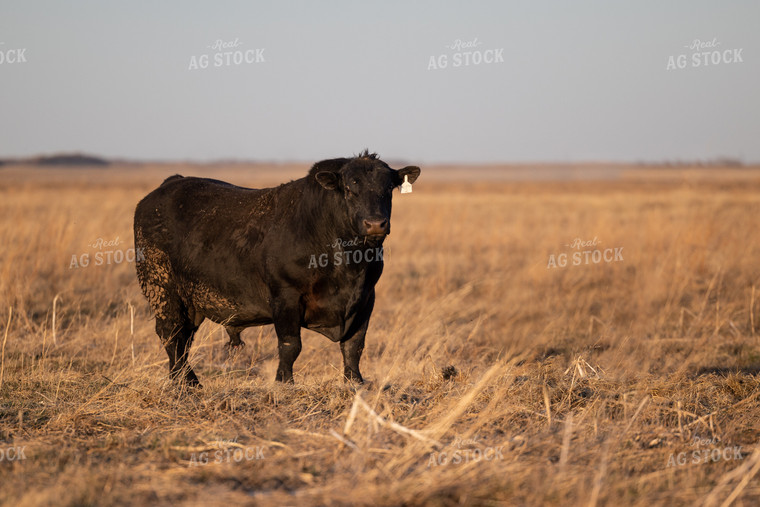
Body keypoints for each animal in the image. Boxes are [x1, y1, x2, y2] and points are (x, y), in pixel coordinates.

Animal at [137, 153, 422, 386]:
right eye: (351, 189)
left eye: (389, 188)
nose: (375, 224)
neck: (348, 264)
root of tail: (169, 185)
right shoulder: (286, 296)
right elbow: (290, 345)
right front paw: (284, 381)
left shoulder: (365, 298)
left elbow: (354, 346)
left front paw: (355, 382)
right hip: (162, 289)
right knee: (171, 334)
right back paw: (184, 381)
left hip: (191, 303)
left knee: (183, 339)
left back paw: (187, 380)